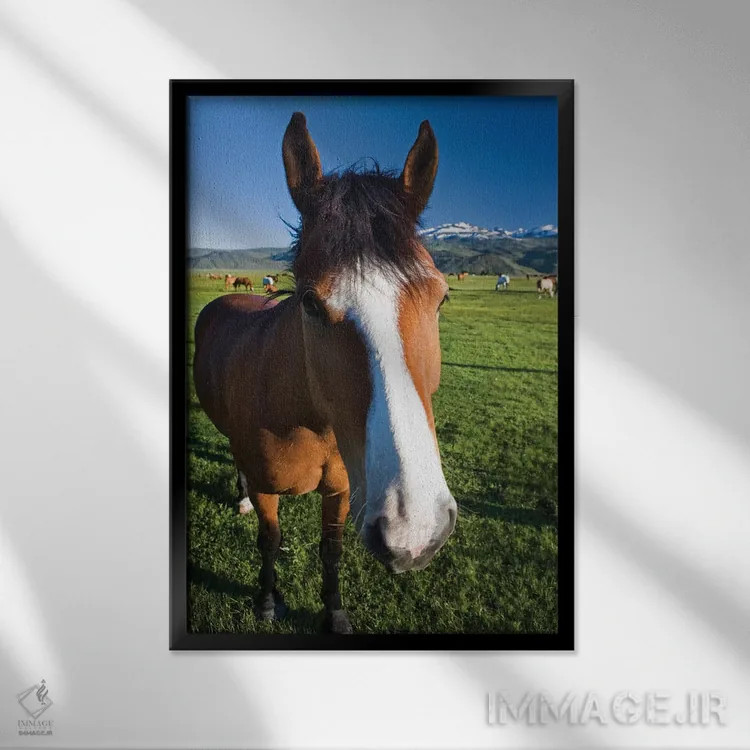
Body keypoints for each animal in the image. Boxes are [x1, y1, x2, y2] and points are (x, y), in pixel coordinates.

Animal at [193, 112, 457, 634]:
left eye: (441, 298)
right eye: (311, 303)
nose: (414, 526)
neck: (305, 419)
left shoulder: (340, 490)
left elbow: (330, 551)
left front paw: (334, 612)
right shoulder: (269, 489)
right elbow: (270, 541)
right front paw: (267, 601)